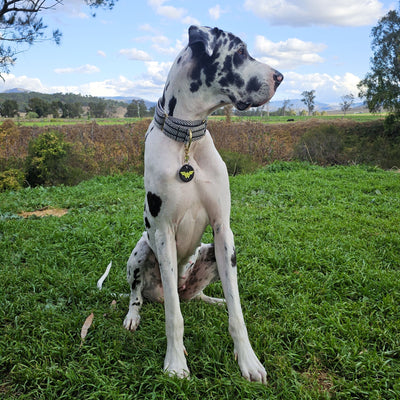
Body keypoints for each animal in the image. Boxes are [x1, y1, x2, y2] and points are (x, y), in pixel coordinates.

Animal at [123, 25, 282, 384]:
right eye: (240, 52)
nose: (280, 77)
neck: (188, 139)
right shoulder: (163, 236)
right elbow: (174, 317)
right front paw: (175, 363)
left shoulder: (223, 233)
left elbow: (238, 313)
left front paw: (248, 360)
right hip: (140, 251)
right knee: (140, 295)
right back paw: (132, 316)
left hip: (208, 254)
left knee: (195, 296)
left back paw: (214, 299)